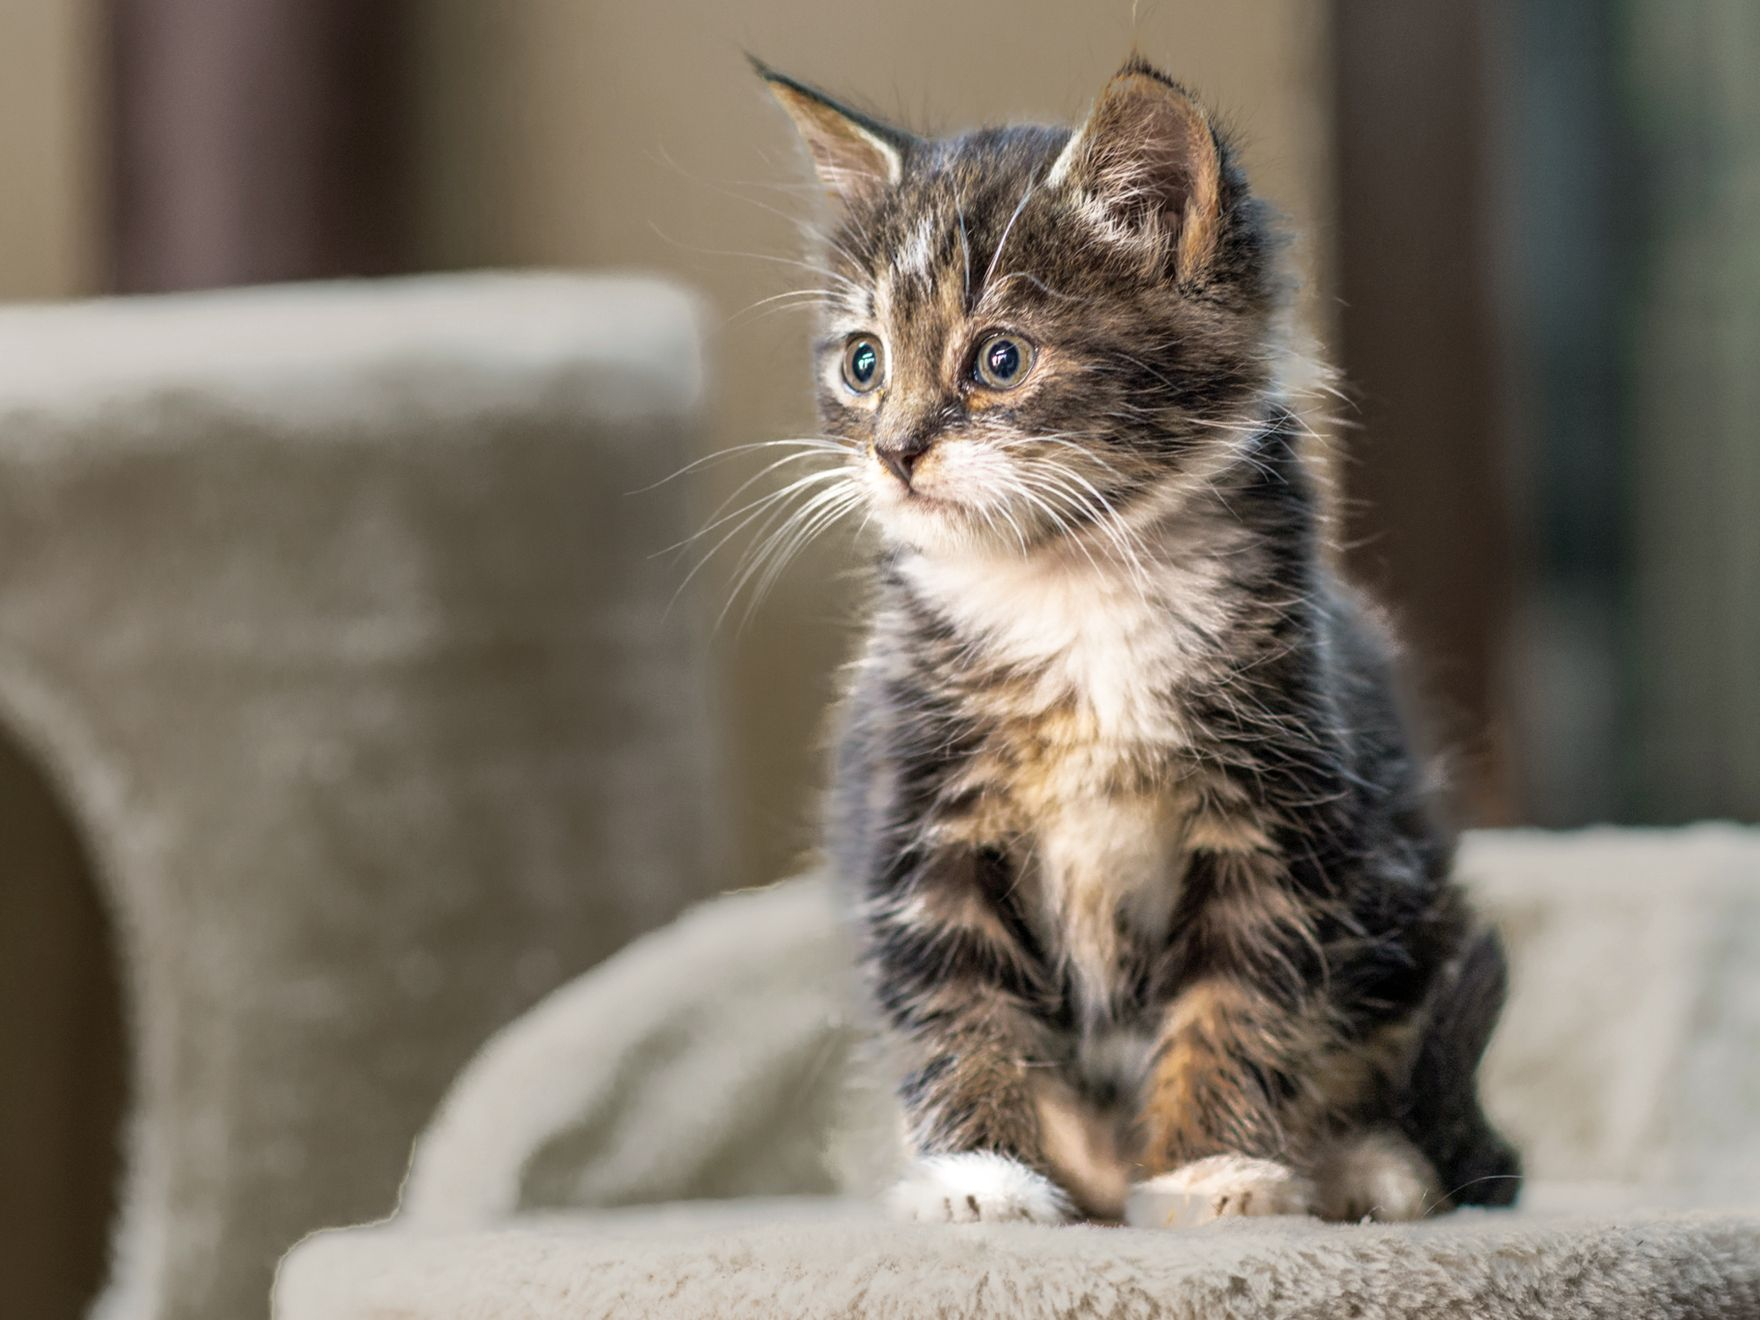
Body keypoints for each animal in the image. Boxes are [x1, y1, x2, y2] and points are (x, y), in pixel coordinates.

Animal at [749, 54, 1520, 1232]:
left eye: (999, 360)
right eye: (864, 364)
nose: (895, 452)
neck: (1072, 594)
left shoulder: (1282, 817)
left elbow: (1240, 1000)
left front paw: (1213, 1166)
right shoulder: (915, 813)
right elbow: (957, 1006)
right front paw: (980, 1172)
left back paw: (1364, 1168)